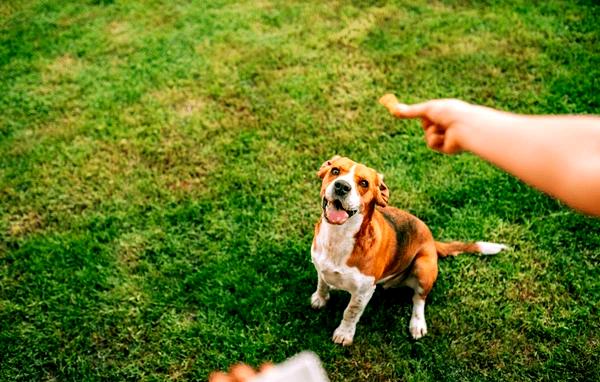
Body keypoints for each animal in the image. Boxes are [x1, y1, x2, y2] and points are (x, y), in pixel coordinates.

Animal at [312, 155, 504, 346]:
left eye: (364, 183)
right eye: (335, 171)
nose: (342, 186)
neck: (338, 236)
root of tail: (432, 240)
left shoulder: (363, 292)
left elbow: (350, 313)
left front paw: (344, 333)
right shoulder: (320, 268)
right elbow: (322, 284)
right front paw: (320, 299)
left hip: (423, 267)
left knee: (419, 299)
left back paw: (417, 324)